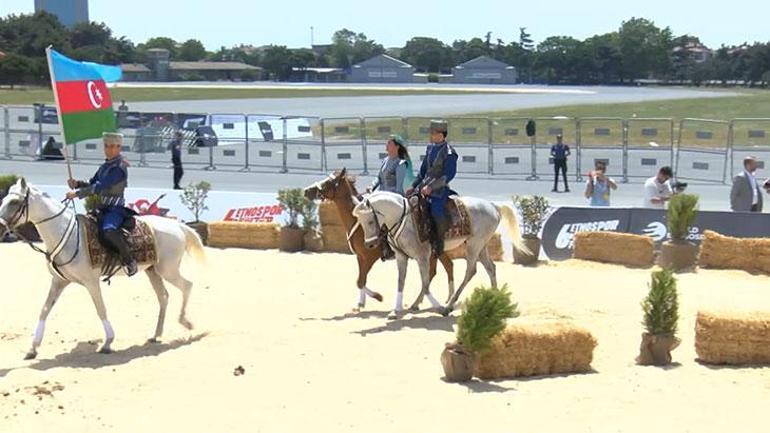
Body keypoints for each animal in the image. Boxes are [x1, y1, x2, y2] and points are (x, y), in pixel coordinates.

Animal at [0, 177, 204, 360]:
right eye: (4, 200)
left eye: (15, 201)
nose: (1, 228)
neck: (68, 234)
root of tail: (176, 225)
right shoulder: (59, 281)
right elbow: (44, 310)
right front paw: (32, 348)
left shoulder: (91, 282)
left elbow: (101, 309)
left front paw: (107, 342)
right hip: (153, 271)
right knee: (163, 296)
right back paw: (155, 335)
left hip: (167, 270)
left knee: (187, 286)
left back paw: (186, 322)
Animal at [302, 169, 456, 314]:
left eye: (328, 182)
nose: (306, 190)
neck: (359, 222)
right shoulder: (360, 257)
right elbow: (361, 280)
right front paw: (360, 303)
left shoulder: (370, 257)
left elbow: (360, 281)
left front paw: (377, 297)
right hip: (436, 252)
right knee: (442, 268)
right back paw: (436, 301)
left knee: (440, 270)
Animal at [352, 192, 528, 318]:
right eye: (360, 222)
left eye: (370, 221)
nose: (370, 244)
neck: (404, 220)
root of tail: (493, 205)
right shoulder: (401, 257)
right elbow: (401, 281)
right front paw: (396, 310)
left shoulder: (422, 257)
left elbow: (425, 282)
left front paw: (437, 306)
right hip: (481, 246)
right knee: (490, 268)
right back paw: (494, 301)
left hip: (473, 246)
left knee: (471, 271)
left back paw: (449, 305)